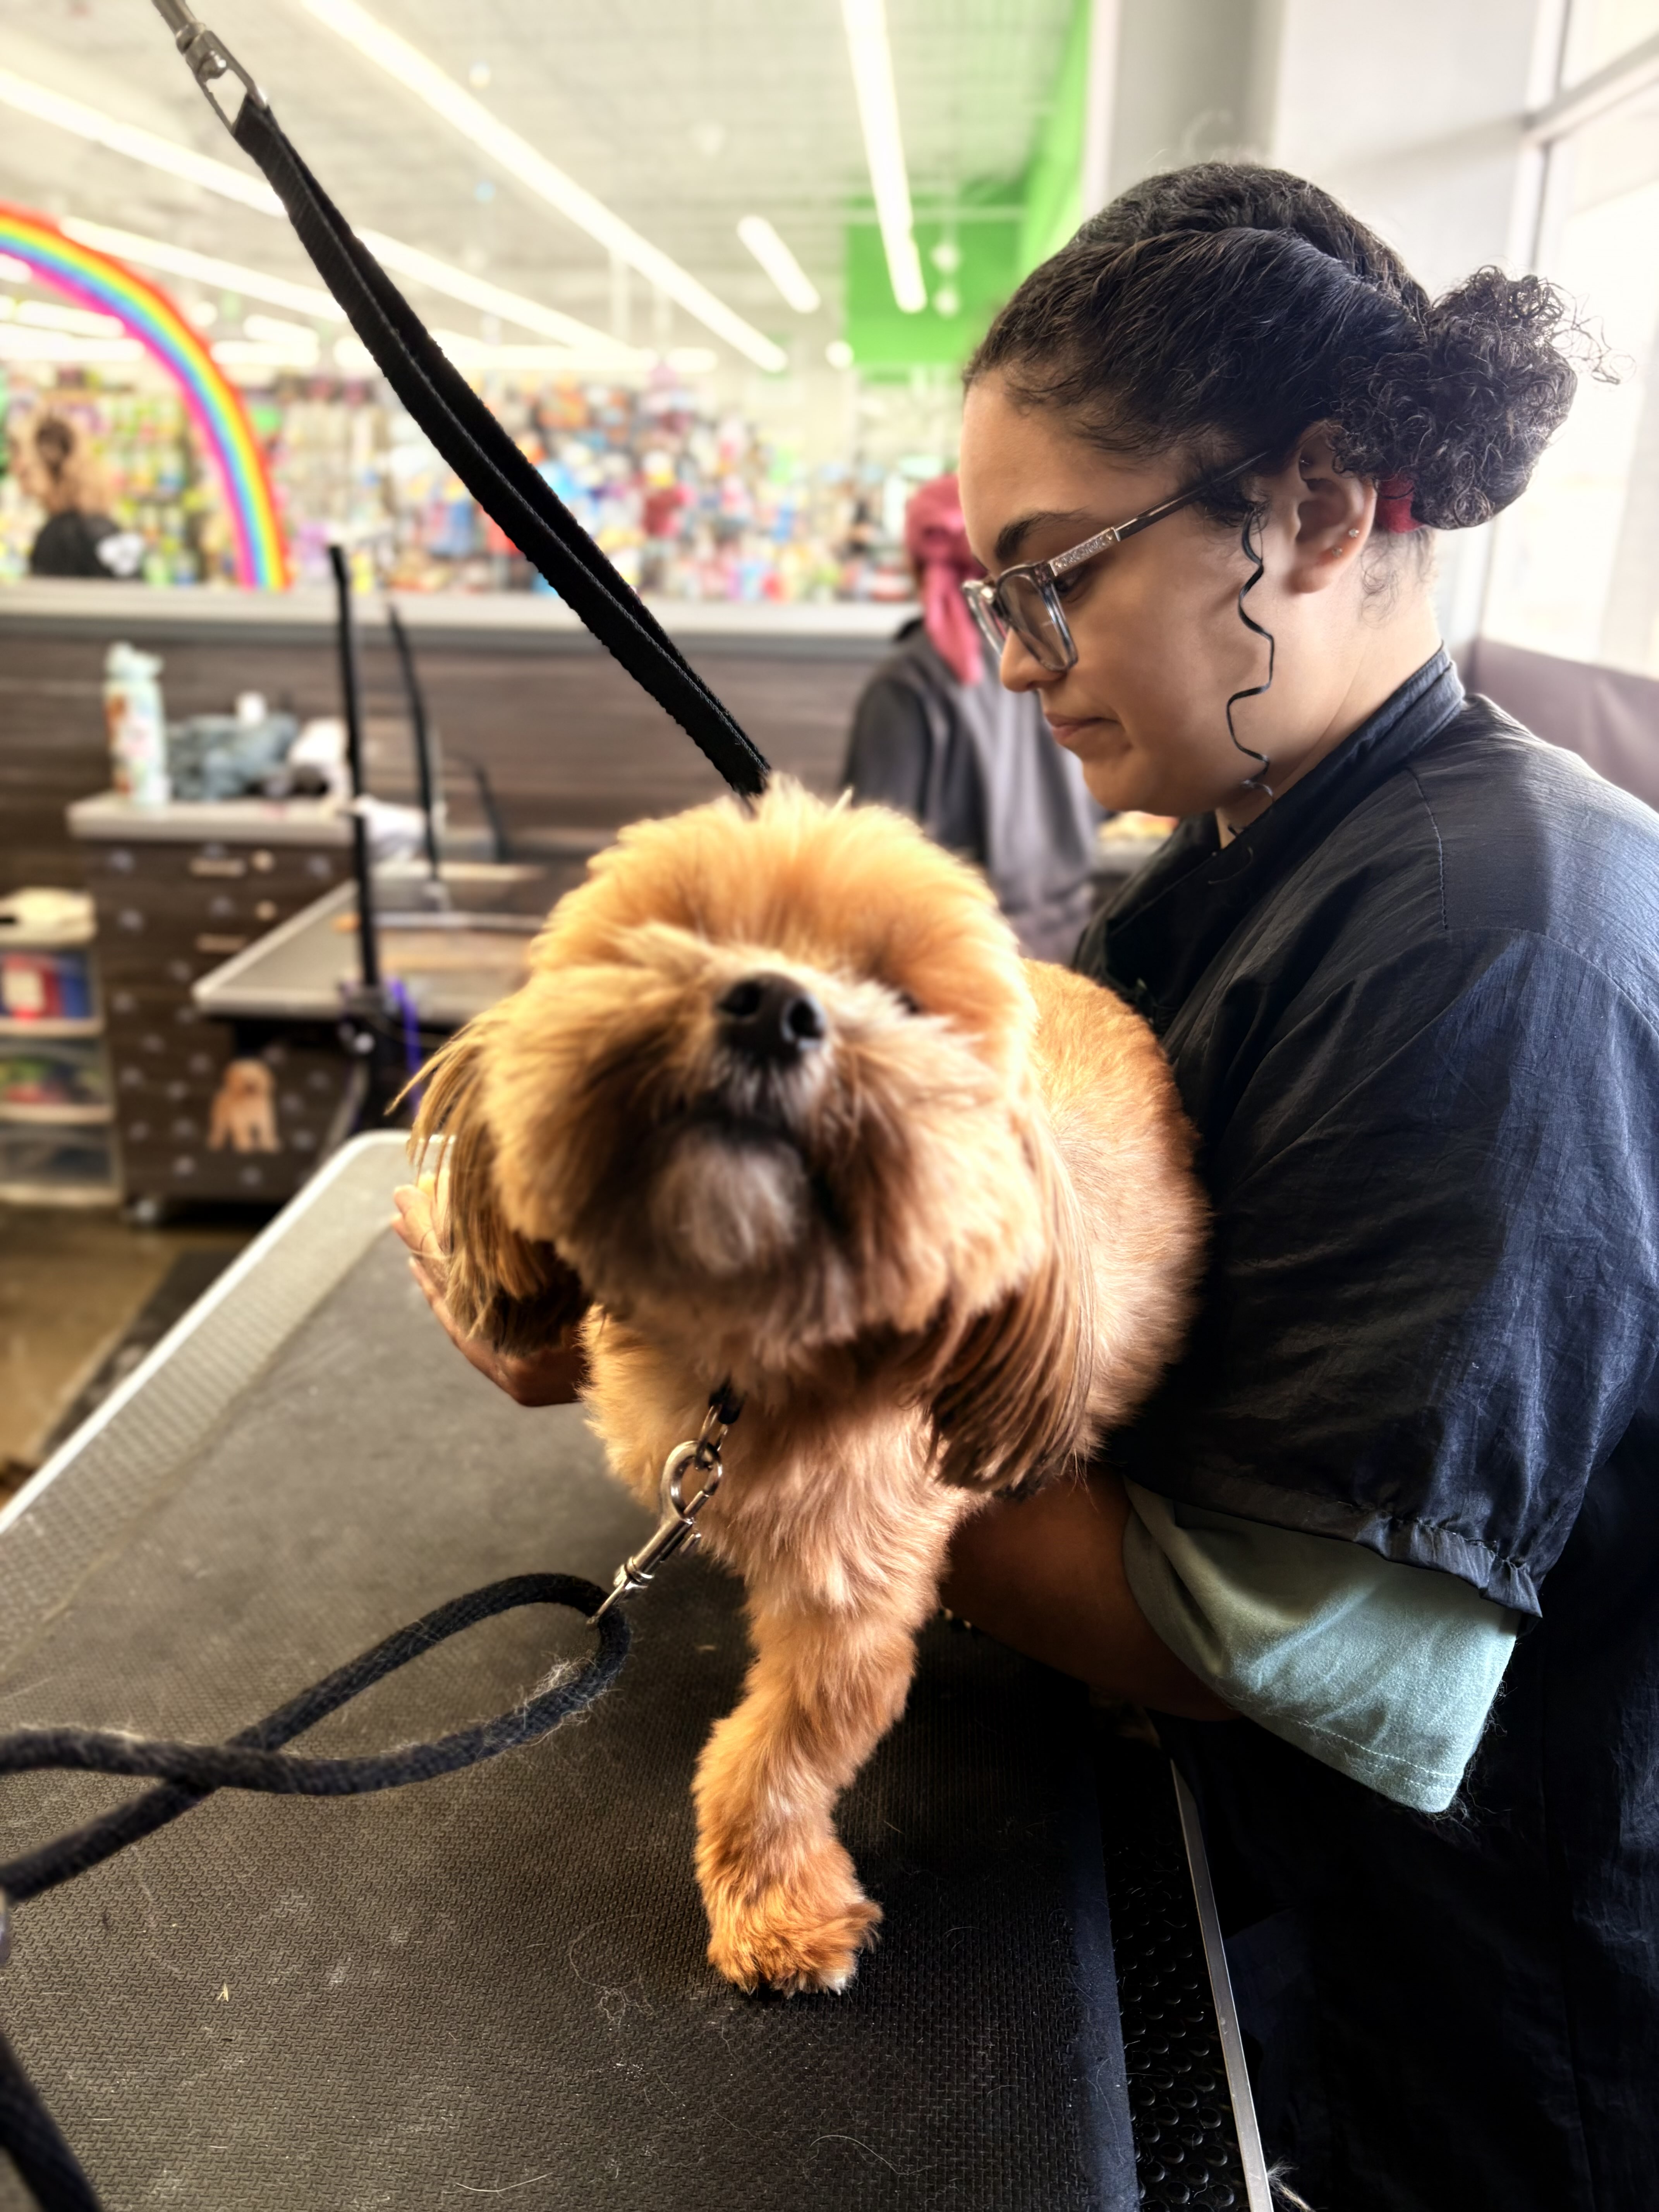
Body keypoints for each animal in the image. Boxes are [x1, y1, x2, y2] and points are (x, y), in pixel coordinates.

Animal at [413, 779, 1204, 1995]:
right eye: (677, 930)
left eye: (903, 999)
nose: (772, 1005)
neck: (740, 1356)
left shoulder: (851, 1597)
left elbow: (777, 1752)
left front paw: (773, 1909)